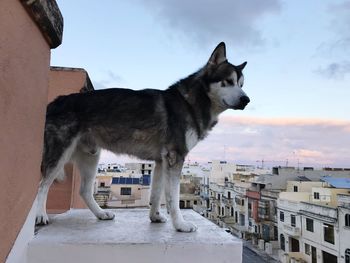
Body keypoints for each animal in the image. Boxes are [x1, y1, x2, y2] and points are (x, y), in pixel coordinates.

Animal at [36, 41, 249, 233]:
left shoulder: (162, 161)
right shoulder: (175, 158)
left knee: (84, 191)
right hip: (60, 155)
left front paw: (155, 217)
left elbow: (156, 195)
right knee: (42, 185)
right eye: (227, 81)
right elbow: (173, 198)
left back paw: (101, 214)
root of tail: (55, 101)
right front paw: (180, 225)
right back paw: (40, 215)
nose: (246, 99)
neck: (190, 101)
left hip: (91, 156)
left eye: (241, 84)